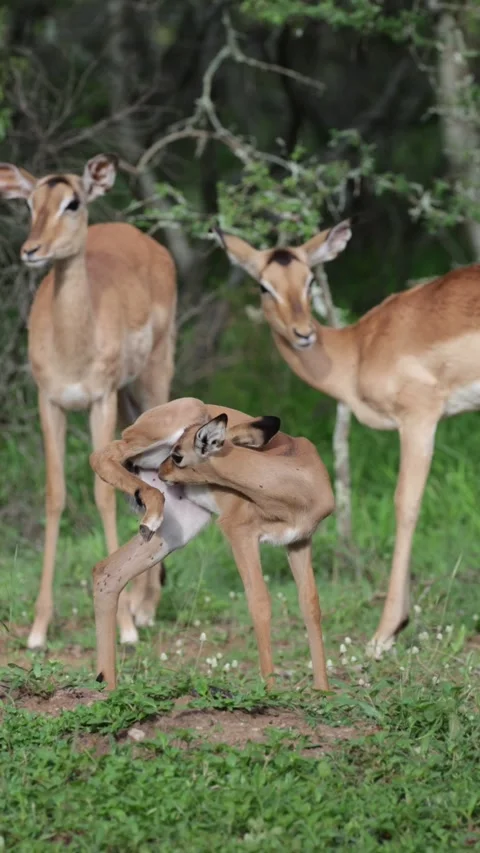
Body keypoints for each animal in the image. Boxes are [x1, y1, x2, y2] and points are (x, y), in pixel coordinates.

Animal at [0, 154, 176, 650]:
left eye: (73, 202)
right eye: (30, 202)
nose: (32, 249)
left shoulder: (100, 399)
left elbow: (102, 494)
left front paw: (124, 625)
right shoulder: (50, 402)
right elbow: (55, 495)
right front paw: (39, 628)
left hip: (153, 378)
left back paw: (146, 609)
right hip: (131, 402)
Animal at [90, 396, 335, 690]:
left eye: (178, 455)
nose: (162, 470)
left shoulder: (299, 541)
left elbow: (311, 605)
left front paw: (323, 691)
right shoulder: (240, 532)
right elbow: (259, 603)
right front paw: (271, 691)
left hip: (175, 533)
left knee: (108, 573)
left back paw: (108, 688)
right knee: (101, 455)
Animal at [213, 222, 480, 657]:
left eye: (309, 280)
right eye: (264, 286)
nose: (303, 334)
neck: (357, 351)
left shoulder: (419, 417)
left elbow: (406, 504)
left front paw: (385, 632)